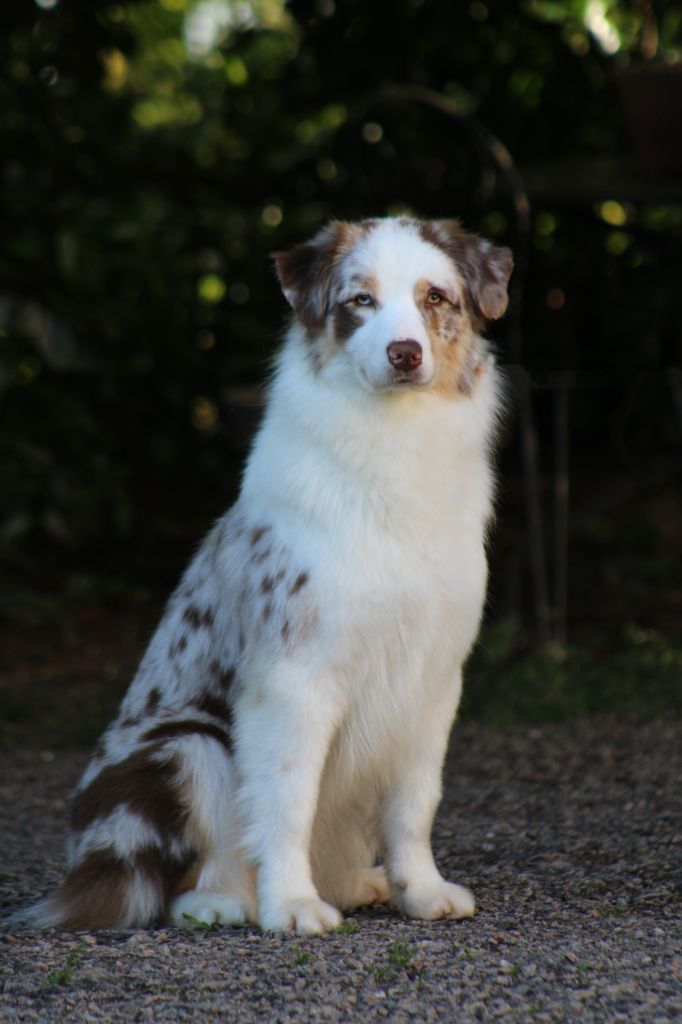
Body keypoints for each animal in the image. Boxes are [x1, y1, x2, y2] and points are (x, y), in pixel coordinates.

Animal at [14, 216, 509, 937]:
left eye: (435, 298)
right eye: (360, 301)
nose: (405, 354)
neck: (392, 452)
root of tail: (86, 872)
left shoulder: (433, 682)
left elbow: (415, 803)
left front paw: (421, 891)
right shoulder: (292, 678)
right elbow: (285, 800)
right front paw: (292, 905)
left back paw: (361, 883)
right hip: (188, 746)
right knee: (183, 869)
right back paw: (223, 902)